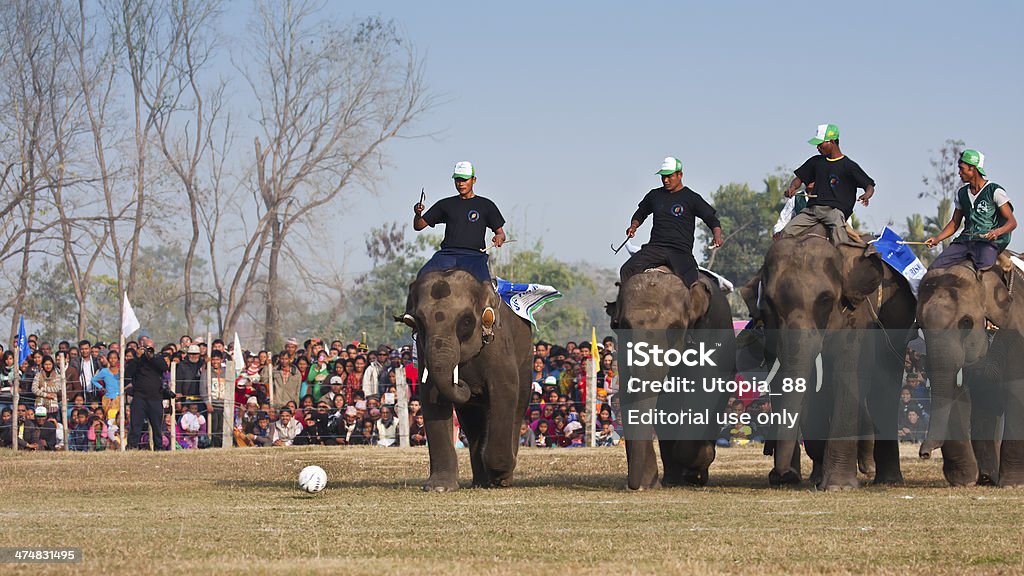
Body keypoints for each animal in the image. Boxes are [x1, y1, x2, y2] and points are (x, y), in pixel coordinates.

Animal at [397, 268, 532, 487]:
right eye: (420, 322)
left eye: (467, 321)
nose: (462, 382)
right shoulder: (423, 347)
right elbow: (431, 397)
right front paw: (439, 487)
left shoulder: (498, 345)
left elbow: (504, 391)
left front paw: (500, 476)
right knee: (472, 422)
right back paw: (481, 482)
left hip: (526, 358)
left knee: (518, 406)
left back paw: (501, 479)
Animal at [606, 266, 737, 485]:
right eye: (622, 325)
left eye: (674, 329)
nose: (634, 486)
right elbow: (629, 393)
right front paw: (648, 484)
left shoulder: (709, 331)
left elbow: (704, 388)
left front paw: (700, 464)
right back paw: (672, 478)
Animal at [757, 226, 917, 485]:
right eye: (769, 302)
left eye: (825, 299)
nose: (782, 474)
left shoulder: (856, 314)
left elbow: (847, 371)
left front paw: (837, 486)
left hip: (898, 321)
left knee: (884, 383)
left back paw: (886, 479)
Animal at [913, 261, 1024, 483]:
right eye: (919, 325)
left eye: (966, 322)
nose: (924, 454)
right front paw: (964, 480)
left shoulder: (1018, 331)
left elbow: (1017, 389)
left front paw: (1012, 483)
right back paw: (988, 478)